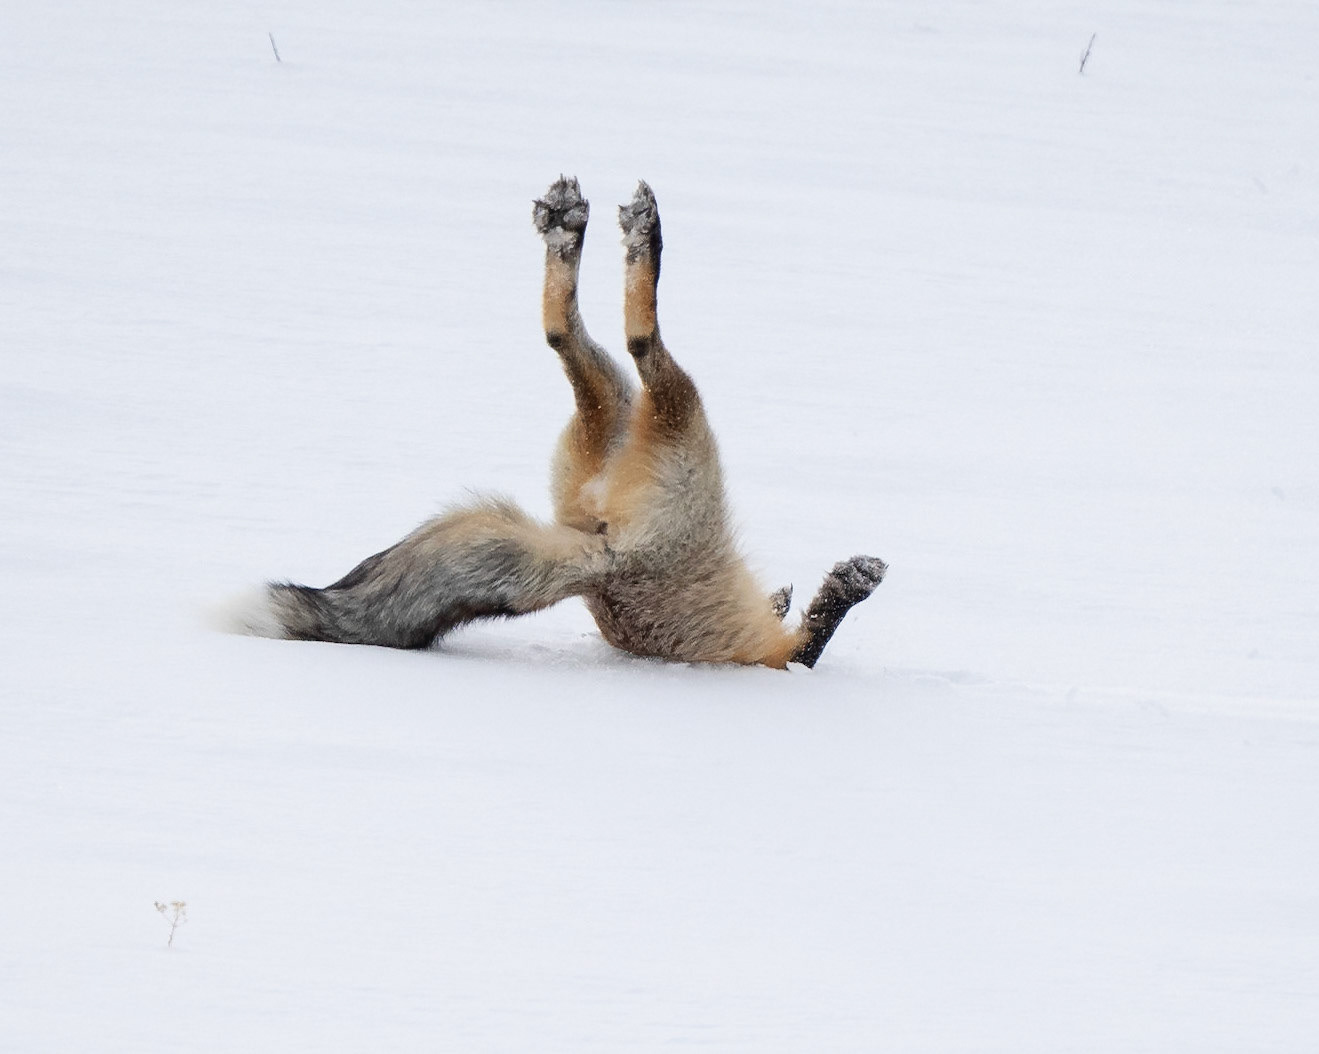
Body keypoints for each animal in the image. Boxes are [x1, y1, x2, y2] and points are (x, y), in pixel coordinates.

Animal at [225, 177, 886, 668]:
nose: (874, 563)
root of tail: (605, 561)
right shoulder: (789, 656)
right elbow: (821, 627)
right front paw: (846, 587)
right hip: (683, 414)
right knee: (642, 341)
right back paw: (644, 237)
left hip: (611, 405)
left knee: (559, 333)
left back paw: (567, 230)